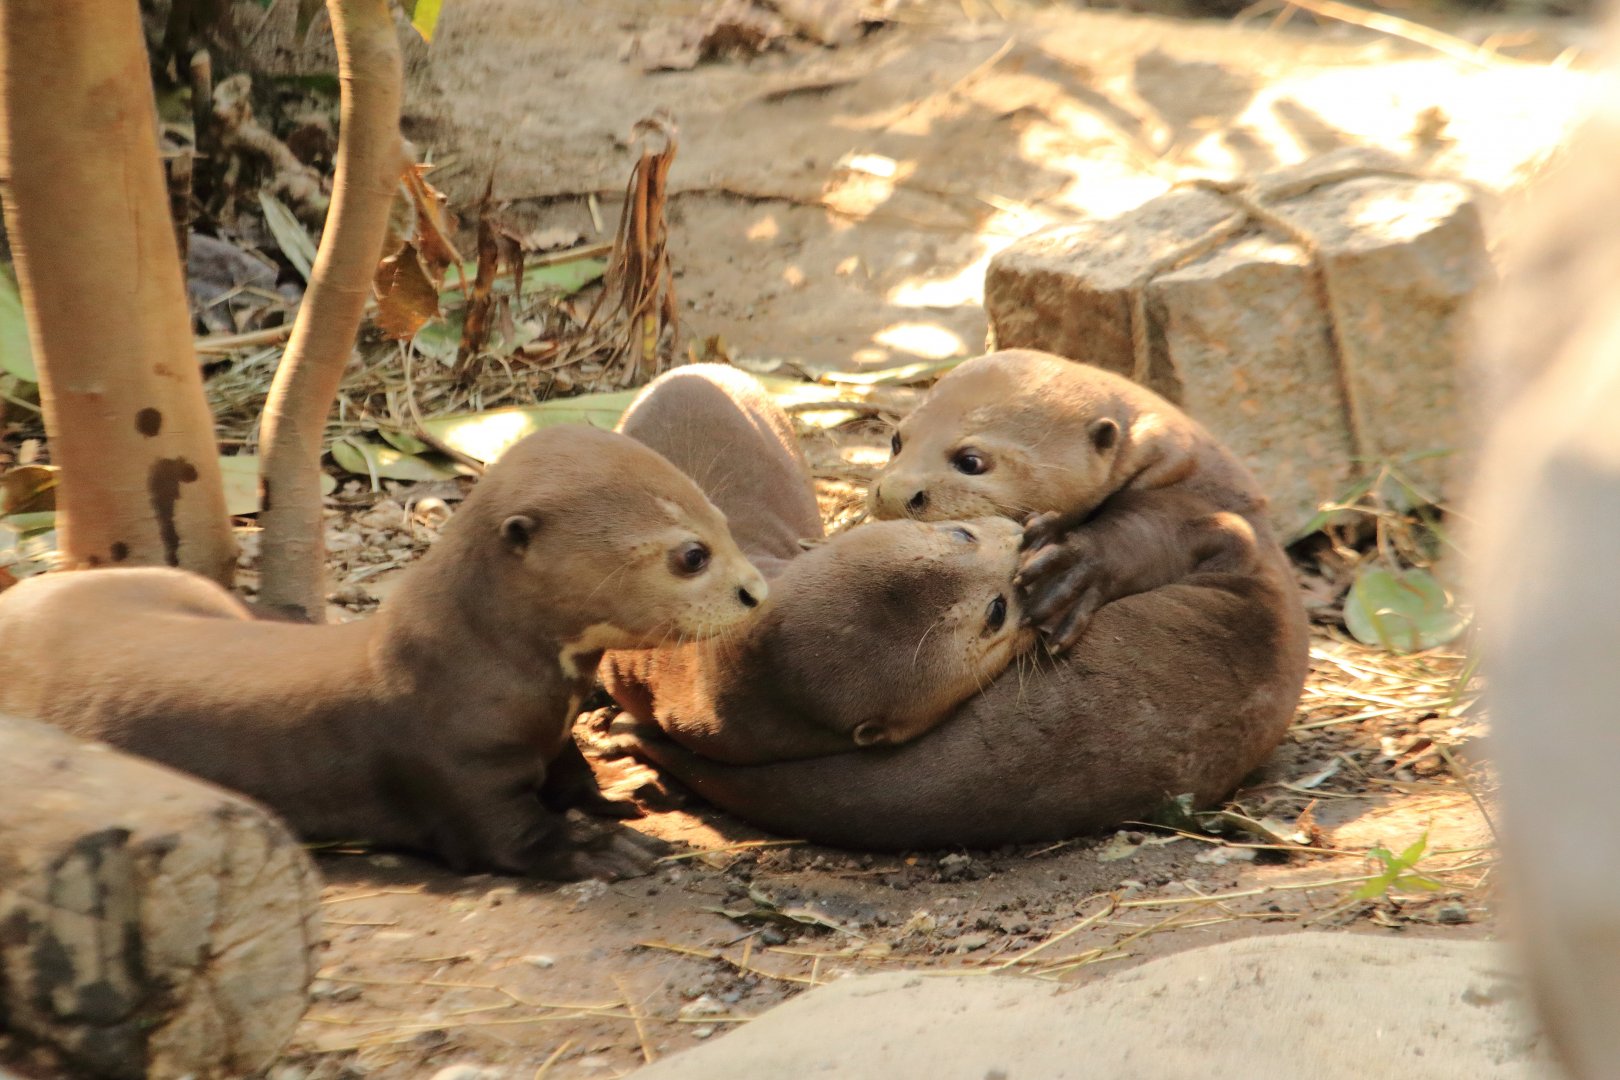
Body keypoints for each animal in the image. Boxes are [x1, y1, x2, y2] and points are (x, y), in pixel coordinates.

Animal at [0, 425, 767, 879]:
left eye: (724, 520)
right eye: (690, 556)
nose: (756, 591)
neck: (476, 673)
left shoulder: (546, 733)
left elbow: (569, 770)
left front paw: (622, 784)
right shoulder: (454, 766)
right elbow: (505, 838)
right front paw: (595, 845)